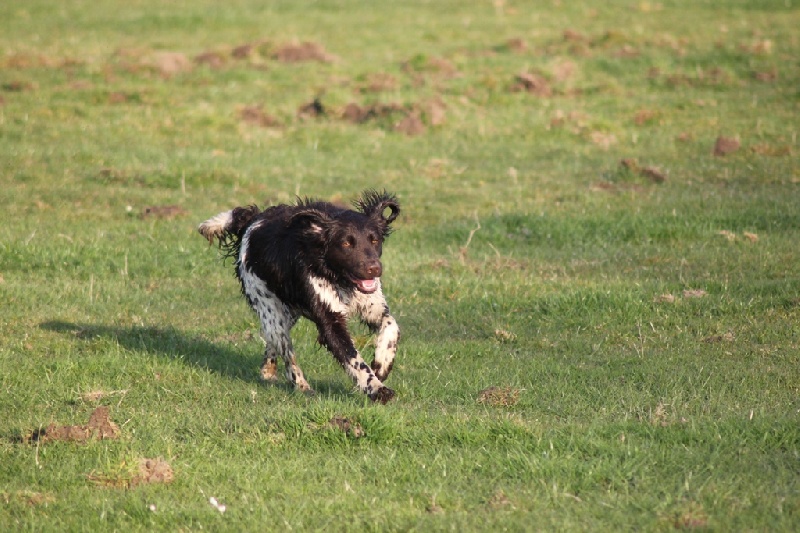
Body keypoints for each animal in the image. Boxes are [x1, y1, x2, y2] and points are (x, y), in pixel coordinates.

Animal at [198, 189, 404, 402]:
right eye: (346, 243)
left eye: (374, 240)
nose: (374, 268)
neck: (339, 278)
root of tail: (254, 219)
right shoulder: (330, 322)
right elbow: (354, 360)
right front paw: (377, 389)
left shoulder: (373, 307)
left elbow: (392, 326)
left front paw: (382, 364)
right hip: (270, 311)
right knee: (287, 354)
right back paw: (302, 386)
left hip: (289, 312)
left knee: (272, 343)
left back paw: (268, 370)